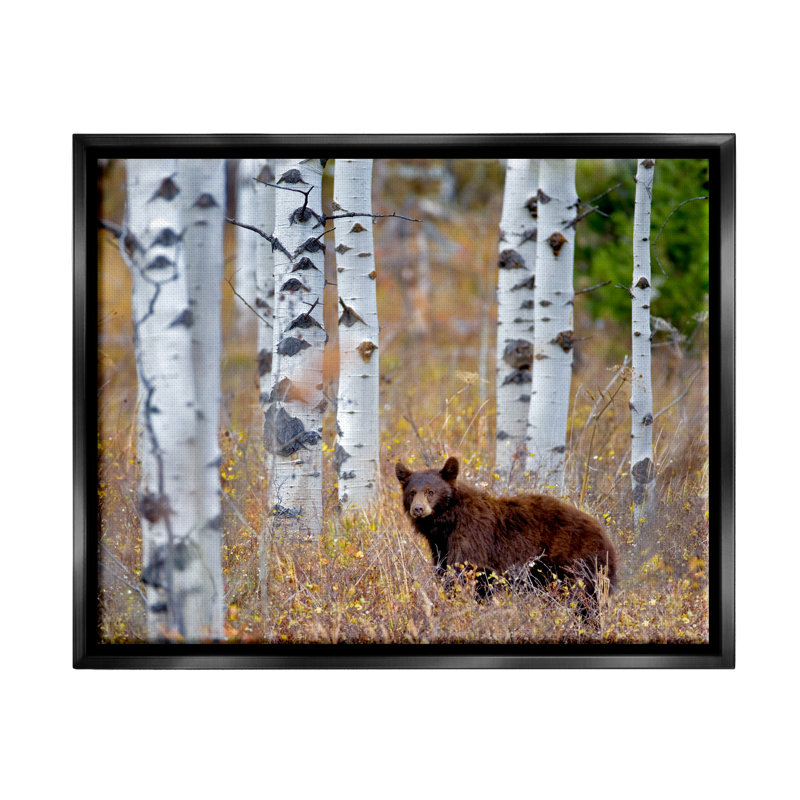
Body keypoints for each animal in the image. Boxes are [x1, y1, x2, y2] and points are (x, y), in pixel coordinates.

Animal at [395, 456, 617, 614]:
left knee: (580, 598)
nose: (418, 509)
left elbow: (462, 573)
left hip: (575, 563)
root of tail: (606, 538)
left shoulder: (473, 539)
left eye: (430, 491)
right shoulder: (441, 547)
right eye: (412, 492)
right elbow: (446, 572)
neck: (449, 522)